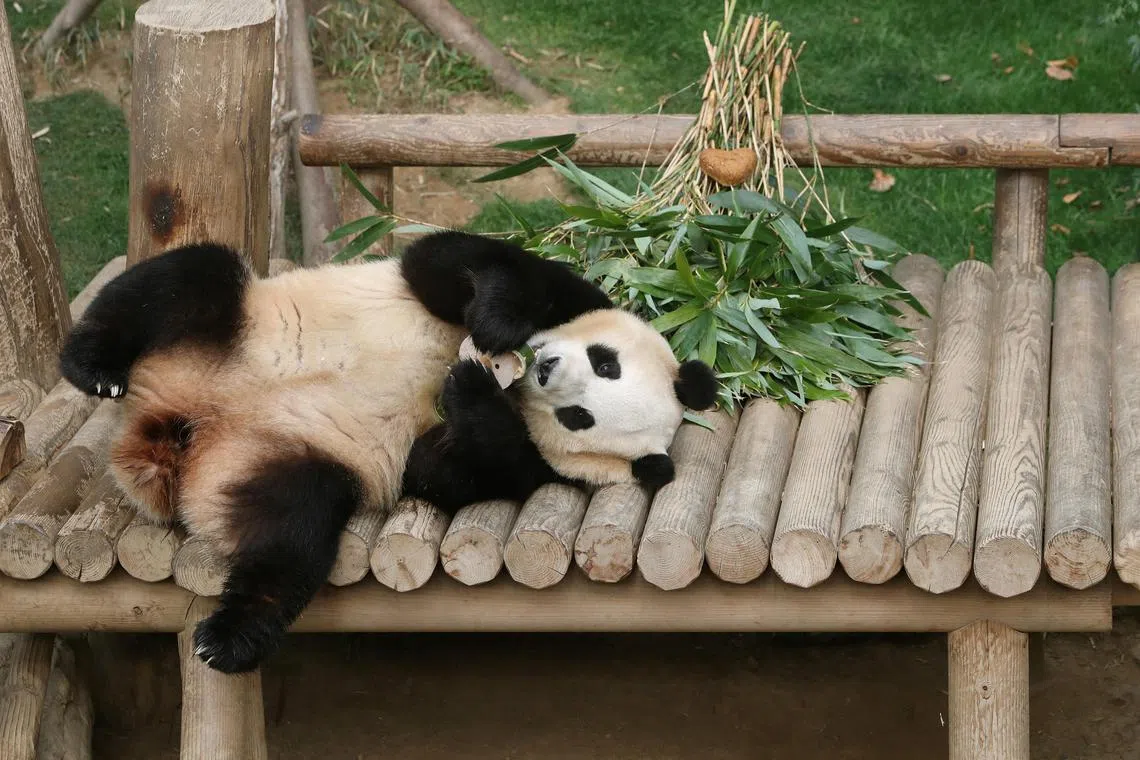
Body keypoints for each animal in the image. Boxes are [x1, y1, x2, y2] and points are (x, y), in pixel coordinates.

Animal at [59, 230, 718, 674]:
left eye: (580, 418)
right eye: (606, 363)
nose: (547, 370)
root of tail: (171, 424)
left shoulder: (524, 464)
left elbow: (445, 470)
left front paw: (469, 388)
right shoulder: (555, 290)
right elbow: (458, 264)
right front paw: (496, 327)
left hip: (280, 454)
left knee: (293, 528)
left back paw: (230, 637)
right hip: (223, 330)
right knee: (187, 280)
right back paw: (94, 366)